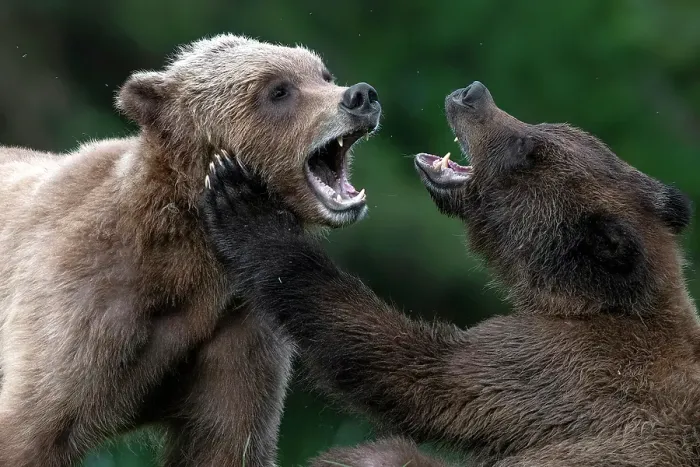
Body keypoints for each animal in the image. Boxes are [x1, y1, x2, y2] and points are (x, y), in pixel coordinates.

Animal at [0, 34, 380, 467]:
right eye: (278, 89)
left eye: (322, 74)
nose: (360, 96)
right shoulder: (87, 303)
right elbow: (34, 426)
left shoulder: (236, 328)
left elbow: (227, 440)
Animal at [197, 81, 700, 466]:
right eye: (546, 126)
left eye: (528, 147)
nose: (473, 93)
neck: (583, 301)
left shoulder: (558, 367)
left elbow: (413, 369)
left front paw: (245, 206)